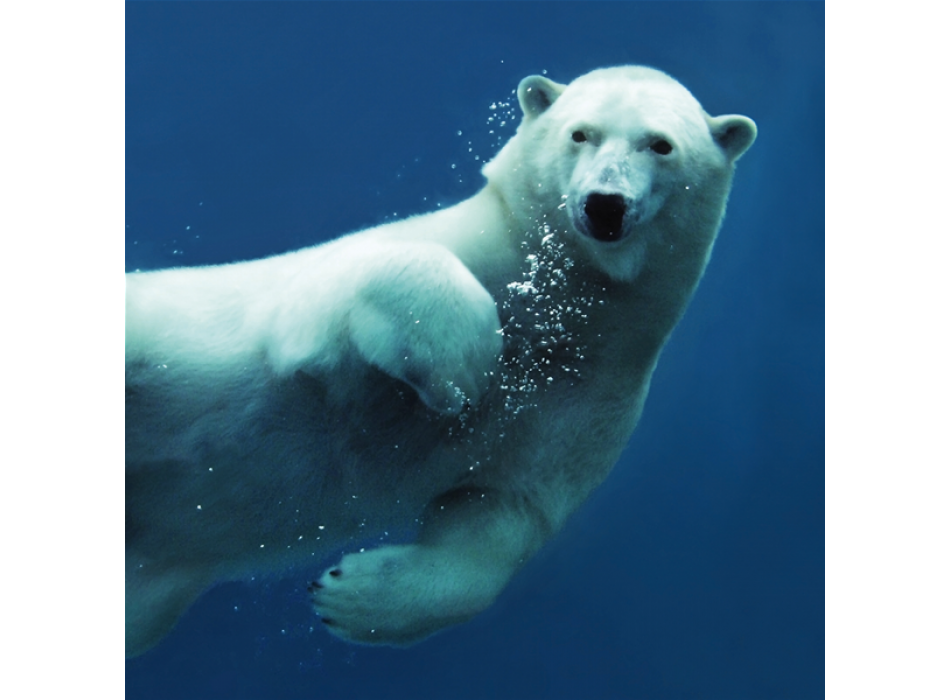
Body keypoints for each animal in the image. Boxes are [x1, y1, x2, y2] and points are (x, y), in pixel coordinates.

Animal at [125, 65, 756, 656]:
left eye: (661, 144)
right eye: (581, 133)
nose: (604, 205)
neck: (560, 303)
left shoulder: (592, 393)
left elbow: (501, 514)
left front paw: (348, 596)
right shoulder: (352, 280)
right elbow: (346, 290)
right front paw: (466, 367)